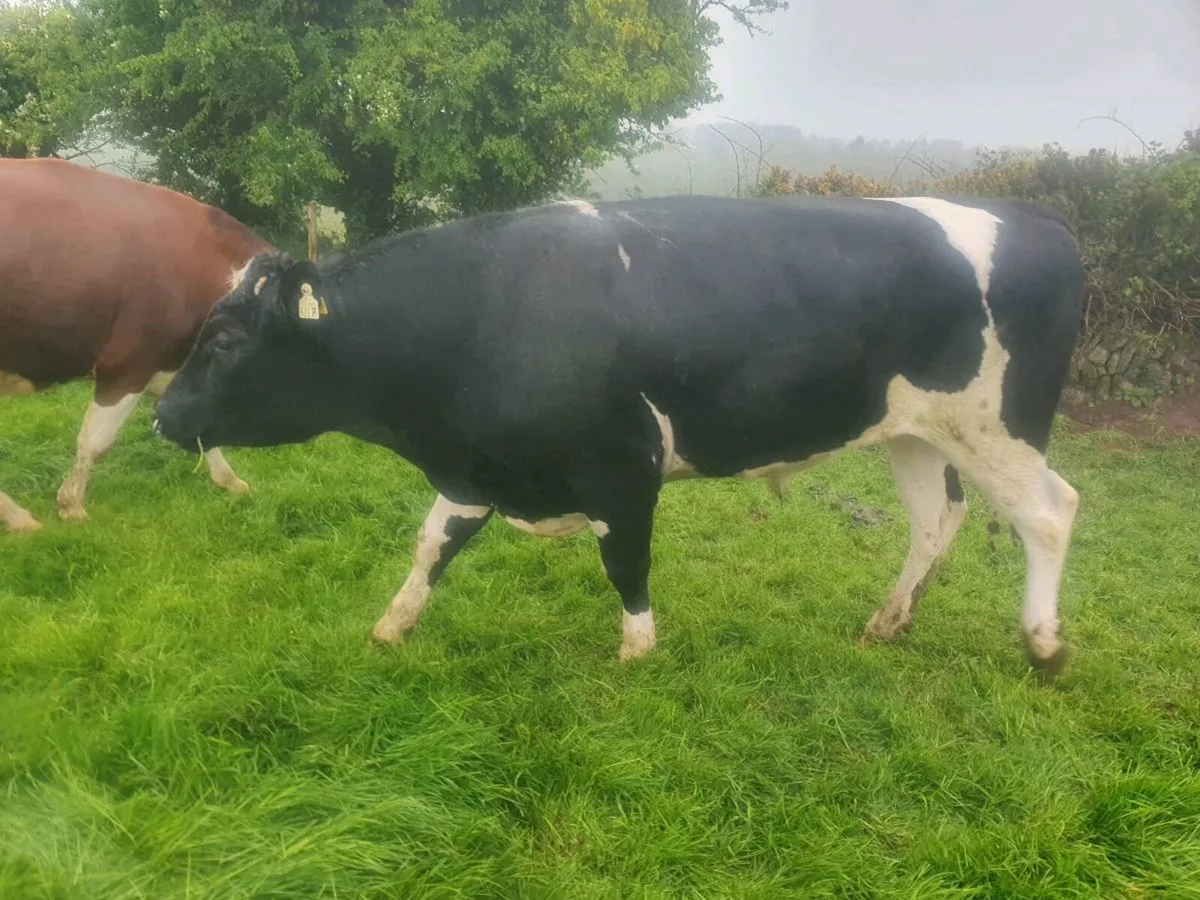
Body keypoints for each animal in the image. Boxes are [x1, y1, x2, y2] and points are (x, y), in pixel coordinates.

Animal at [153, 194, 1084, 675]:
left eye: (226, 340)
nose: (165, 413)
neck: (489, 308)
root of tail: (1040, 227)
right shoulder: (477, 464)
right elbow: (432, 545)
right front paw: (392, 627)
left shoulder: (621, 466)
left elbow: (624, 562)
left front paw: (637, 652)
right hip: (917, 430)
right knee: (936, 519)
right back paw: (888, 622)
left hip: (998, 429)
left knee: (1049, 512)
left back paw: (1042, 643)